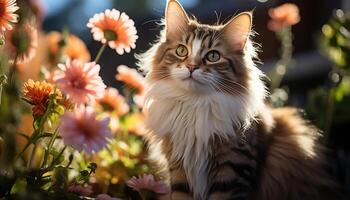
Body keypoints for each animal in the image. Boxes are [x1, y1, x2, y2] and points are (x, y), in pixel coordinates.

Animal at [137, 0, 342, 199]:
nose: (191, 67)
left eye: (213, 56)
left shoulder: (232, 168)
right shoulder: (179, 170)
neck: (195, 105)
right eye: (181, 50)